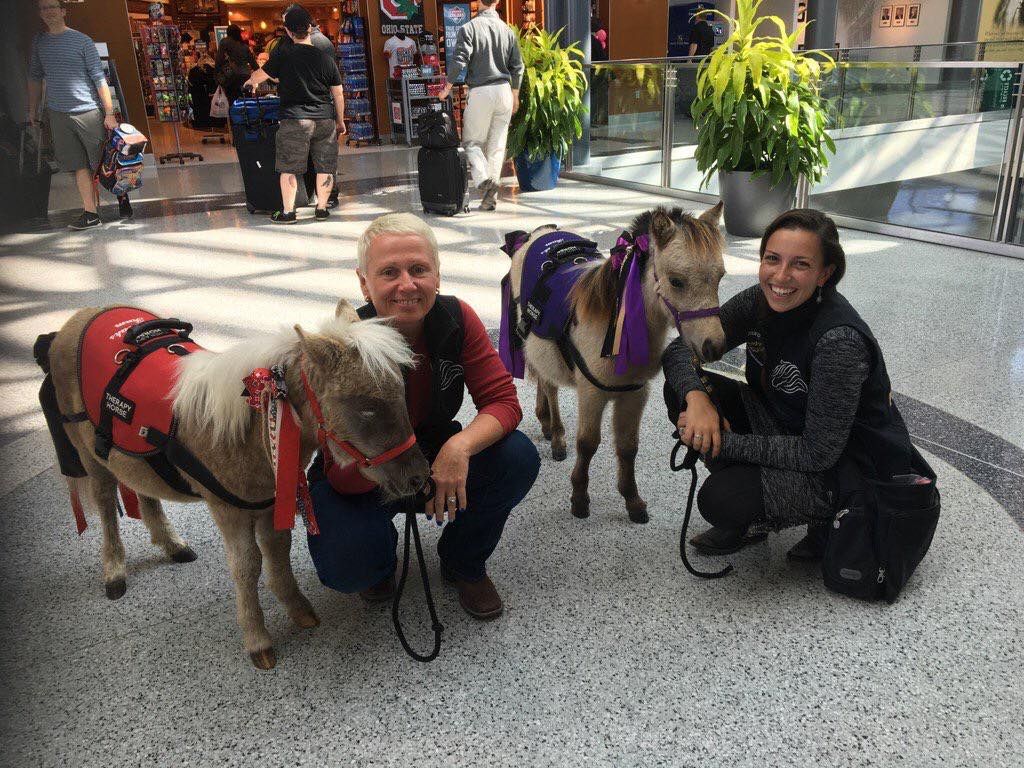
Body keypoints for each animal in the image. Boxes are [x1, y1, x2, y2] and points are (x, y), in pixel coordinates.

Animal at [39, 299, 428, 667]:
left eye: (401, 392)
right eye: (366, 408)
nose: (419, 476)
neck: (251, 433)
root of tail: (75, 321)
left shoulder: (270, 503)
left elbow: (277, 550)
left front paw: (298, 609)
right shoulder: (228, 510)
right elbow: (247, 566)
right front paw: (257, 639)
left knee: (144, 491)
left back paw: (172, 545)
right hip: (91, 457)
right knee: (106, 504)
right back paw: (114, 571)